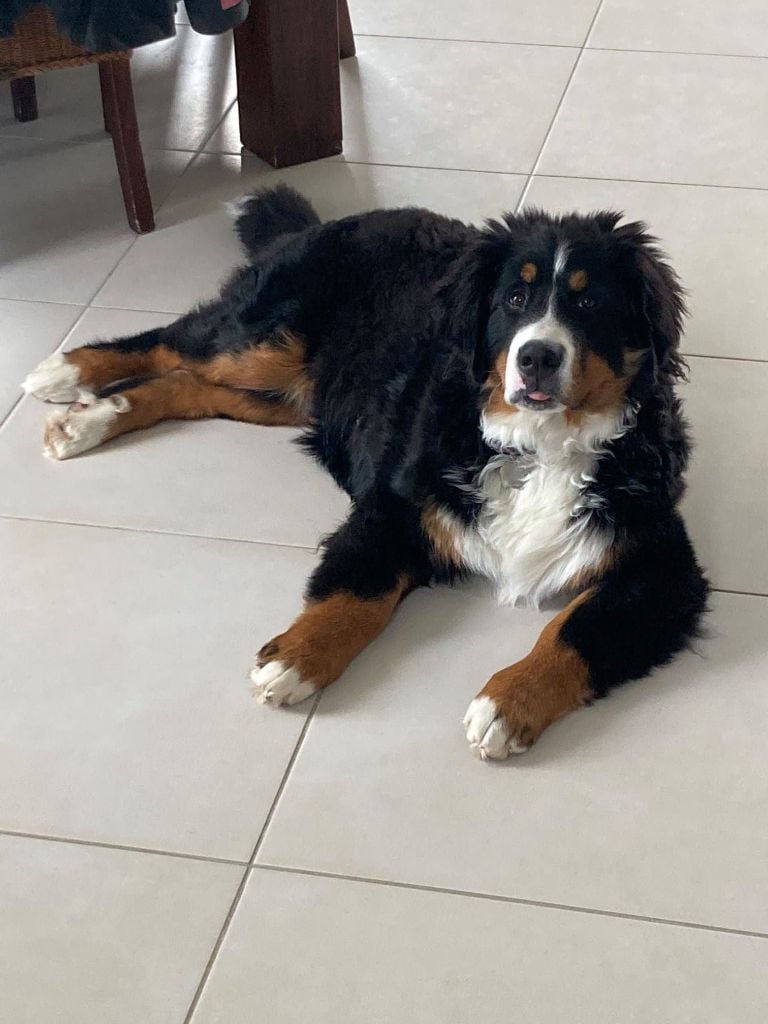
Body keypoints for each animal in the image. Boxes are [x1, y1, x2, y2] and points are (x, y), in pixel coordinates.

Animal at [23, 185, 709, 759]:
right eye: (515, 299)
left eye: (589, 302)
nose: (537, 356)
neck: (539, 448)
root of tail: (336, 220)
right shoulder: (396, 505)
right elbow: (357, 592)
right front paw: (295, 661)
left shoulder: (661, 568)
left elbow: (576, 631)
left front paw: (507, 704)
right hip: (267, 337)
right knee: (172, 342)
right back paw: (67, 375)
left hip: (284, 394)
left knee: (187, 385)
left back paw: (90, 418)